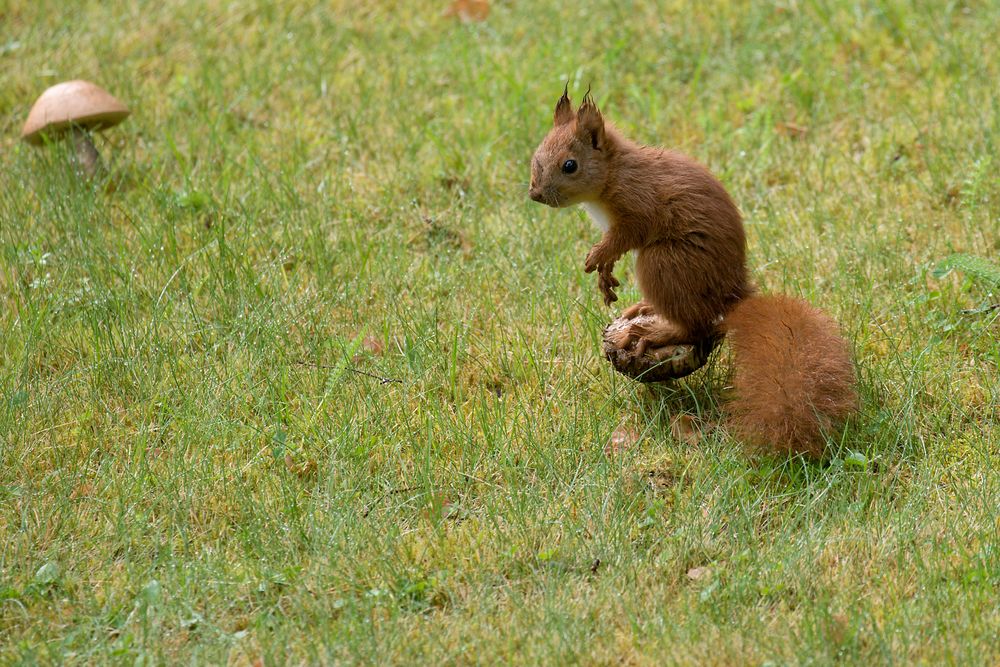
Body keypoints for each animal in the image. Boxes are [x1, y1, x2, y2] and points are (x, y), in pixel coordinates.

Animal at [528, 86, 856, 456]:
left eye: (570, 165)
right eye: (537, 154)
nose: (535, 194)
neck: (614, 173)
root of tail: (731, 295)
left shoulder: (638, 205)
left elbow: (627, 235)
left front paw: (599, 255)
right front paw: (605, 273)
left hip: (663, 264)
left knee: (695, 325)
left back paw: (656, 332)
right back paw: (645, 309)